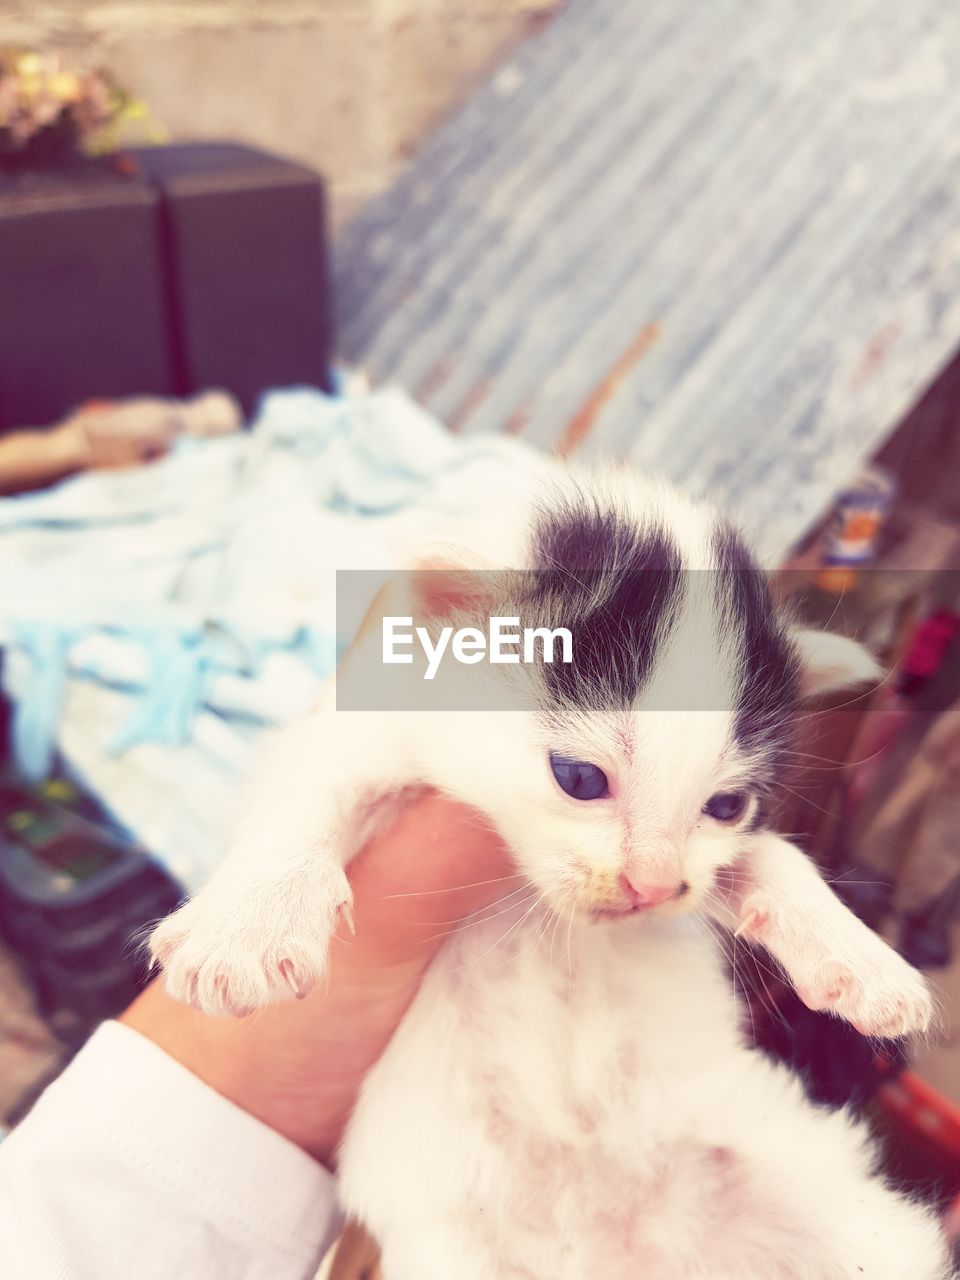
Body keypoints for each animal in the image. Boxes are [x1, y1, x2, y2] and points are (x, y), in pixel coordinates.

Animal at [152, 471, 957, 1280]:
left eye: (727, 805)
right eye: (578, 778)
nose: (651, 888)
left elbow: (772, 855)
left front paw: (861, 962)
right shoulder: (370, 723)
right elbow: (308, 790)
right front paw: (248, 927)